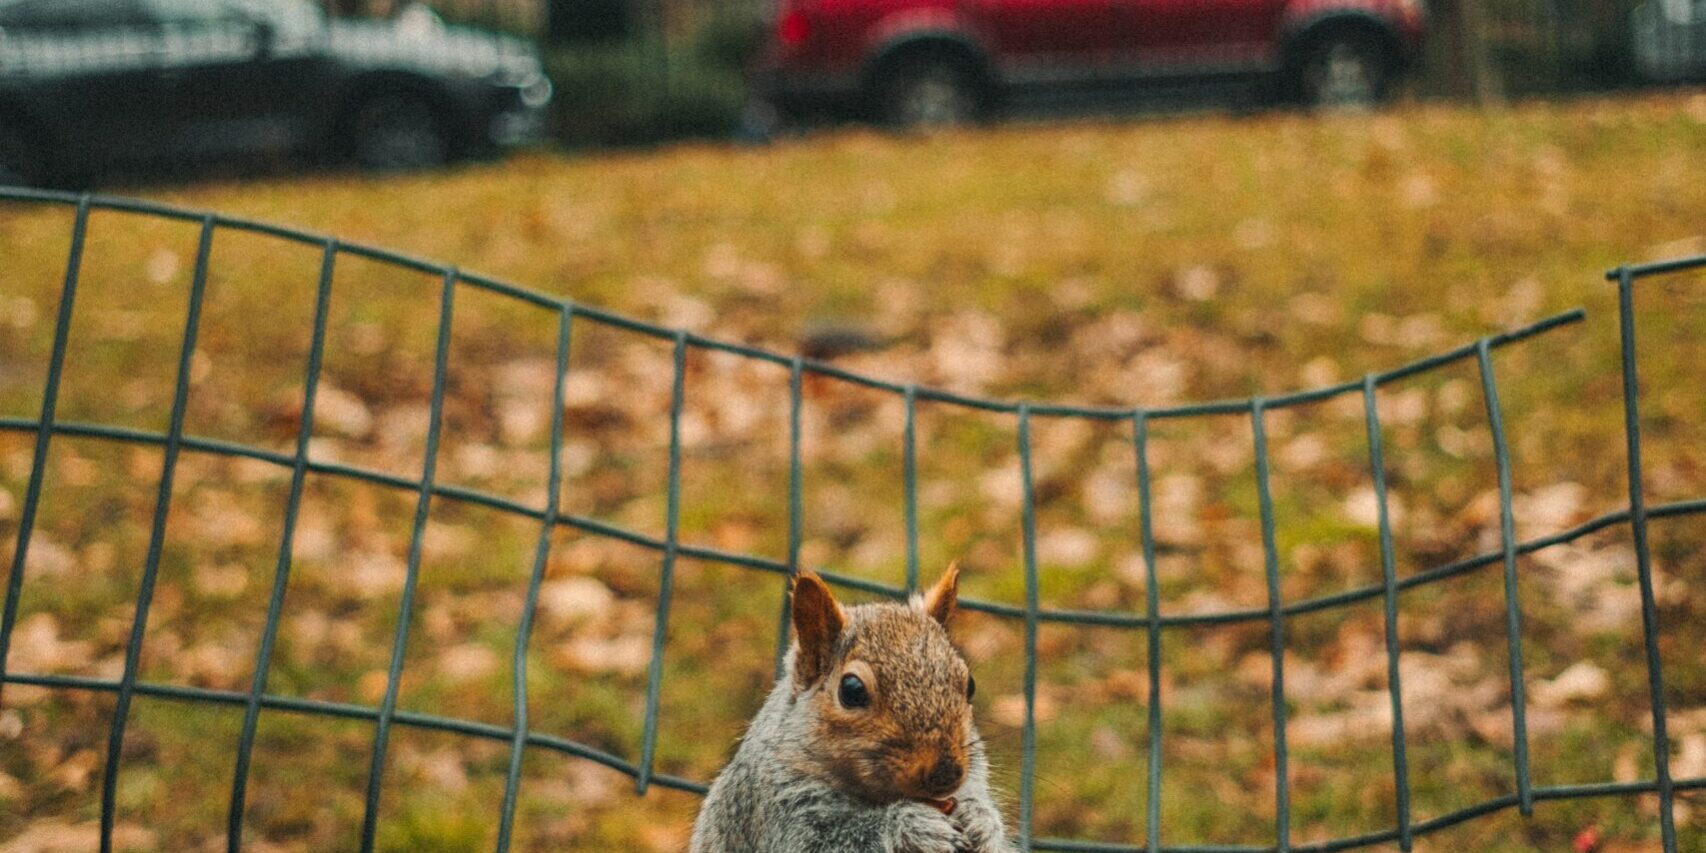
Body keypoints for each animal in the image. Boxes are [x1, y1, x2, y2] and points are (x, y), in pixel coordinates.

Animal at [689, 562, 1011, 853]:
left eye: (970, 684)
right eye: (852, 690)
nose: (946, 773)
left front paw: (981, 819)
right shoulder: (778, 810)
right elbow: (826, 843)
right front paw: (911, 825)